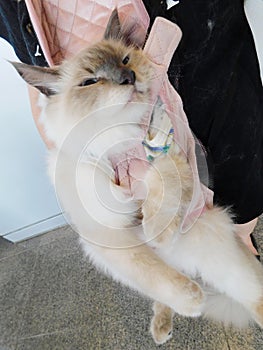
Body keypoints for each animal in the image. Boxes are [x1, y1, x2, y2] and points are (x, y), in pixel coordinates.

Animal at [11, 9, 263, 346]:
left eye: (125, 60)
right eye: (90, 81)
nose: (128, 78)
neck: (119, 140)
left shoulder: (169, 152)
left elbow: (161, 183)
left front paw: (157, 231)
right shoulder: (109, 236)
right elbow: (156, 275)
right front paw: (191, 301)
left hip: (222, 260)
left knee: (254, 299)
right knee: (161, 290)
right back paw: (165, 325)